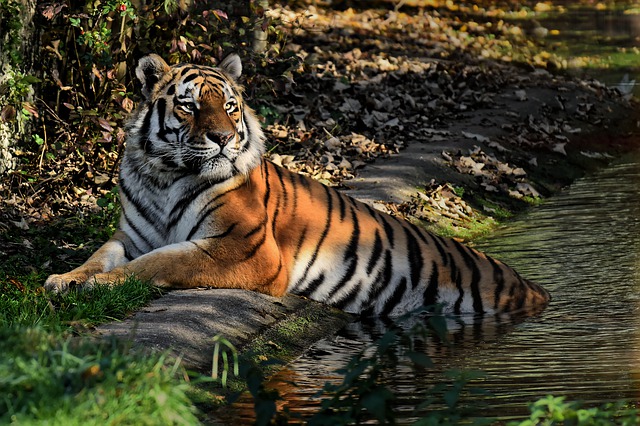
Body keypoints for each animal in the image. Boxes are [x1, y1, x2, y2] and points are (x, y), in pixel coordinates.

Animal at [45, 53, 552, 318]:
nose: (223, 139)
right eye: (189, 107)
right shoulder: (131, 236)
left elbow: (161, 261)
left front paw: (101, 285)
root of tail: (537, 290)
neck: (165, 175)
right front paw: (66, 279)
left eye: (229, 106)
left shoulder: (244, 249)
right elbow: (102, 256)